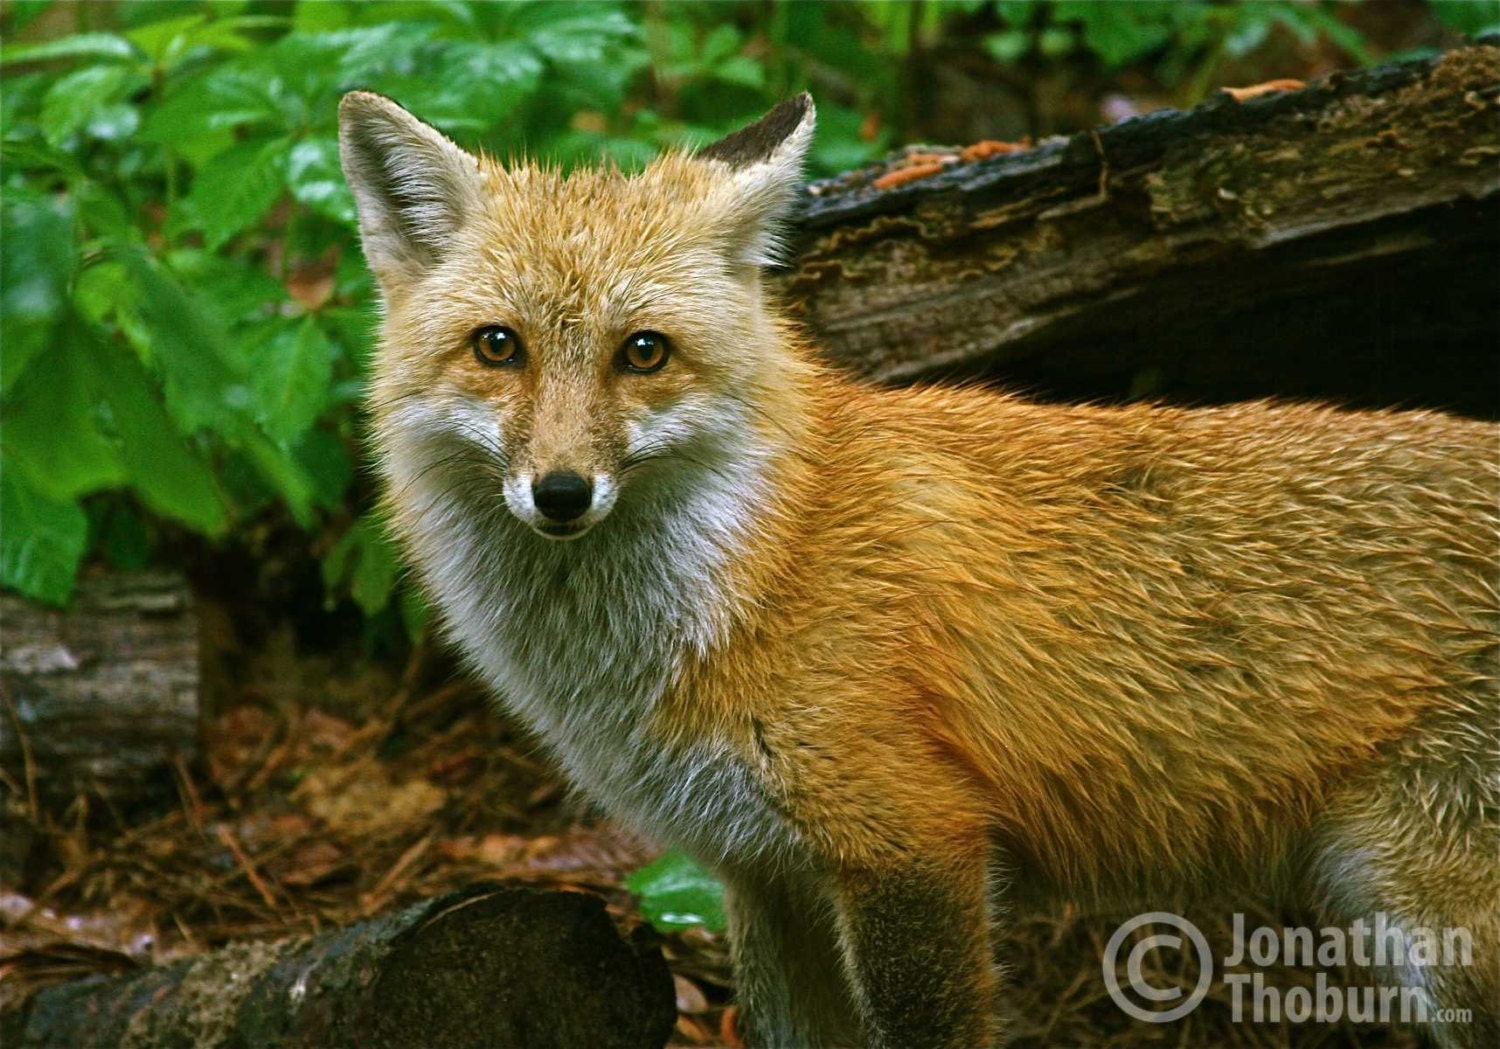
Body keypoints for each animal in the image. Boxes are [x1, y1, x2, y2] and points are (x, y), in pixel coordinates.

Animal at [343, 92, 1500, 1049]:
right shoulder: (763, 875)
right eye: (499, 346)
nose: (562, 491)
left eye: (643, 352)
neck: (756, 568)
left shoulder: (910, 840)